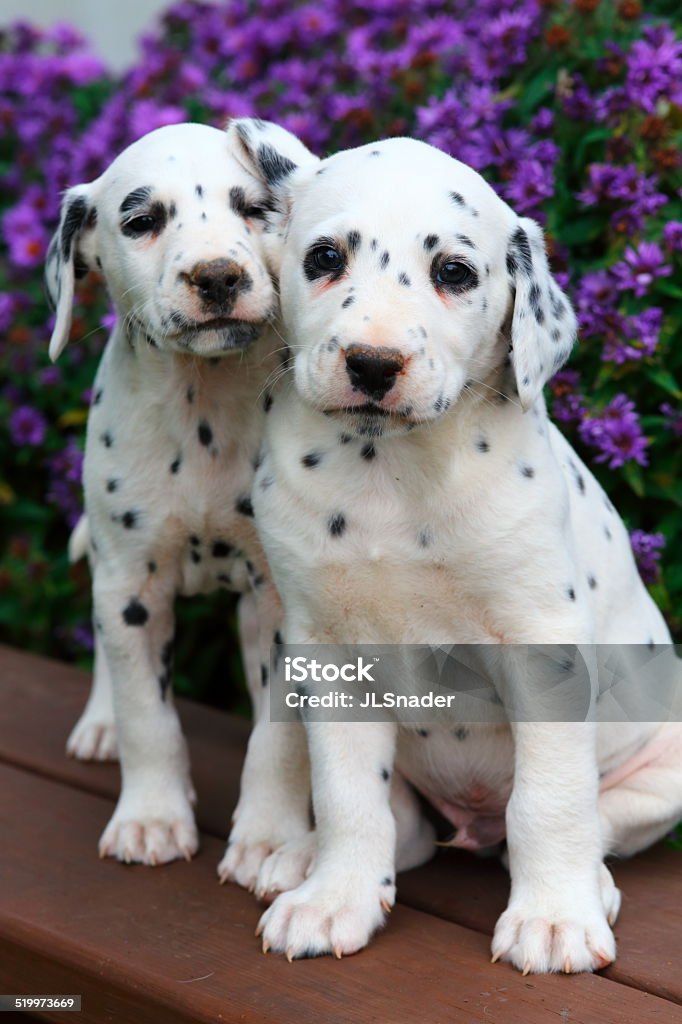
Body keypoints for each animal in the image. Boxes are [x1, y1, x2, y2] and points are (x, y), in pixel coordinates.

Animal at [46, 117, 311, 872]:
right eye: (142, 222)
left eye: (257, 208)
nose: (217, 275)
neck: (205, 406)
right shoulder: (130, 587)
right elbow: (148, 717)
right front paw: (152, 820)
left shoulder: (282, 603)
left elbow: (277, 738)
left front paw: (268, 836)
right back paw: (100, 722)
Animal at [227, 121, 679, 974]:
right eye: (325, 257)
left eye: (454, 273)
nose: (373, 364)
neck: (389, 475)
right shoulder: (328, 654)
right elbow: (348, 797)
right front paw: (334, 898)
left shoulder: (543, 651)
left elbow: (551, 800)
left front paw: (555, 917)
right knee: (399, 826)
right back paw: (302, 857)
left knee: (595, 817)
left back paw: (590, 883)